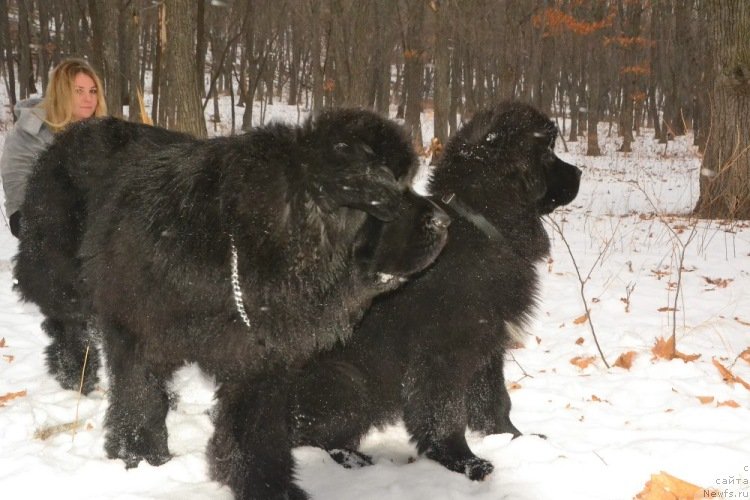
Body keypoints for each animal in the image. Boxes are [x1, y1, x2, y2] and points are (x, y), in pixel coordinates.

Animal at [14, 110, 450, 500]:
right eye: (396, 186)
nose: (445, 220)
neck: (246, 242)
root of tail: (69, 134)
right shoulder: (136, 329)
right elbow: (139, 398)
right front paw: (140, 457)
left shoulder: (257, 357)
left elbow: (254, 431)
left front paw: (266, 486)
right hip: (61, 273)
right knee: (64, 319)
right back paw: (73, 371)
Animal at [290, 100, 584, 480]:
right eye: (547, 154)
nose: (579, 173)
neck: (482, 226)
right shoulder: (443, 352)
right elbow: (445, 411)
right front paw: (465, 460)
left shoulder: (488, 344)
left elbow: (495, 400)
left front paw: (514, 439)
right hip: (348, 383)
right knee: (307, 438)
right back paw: (353, 459)